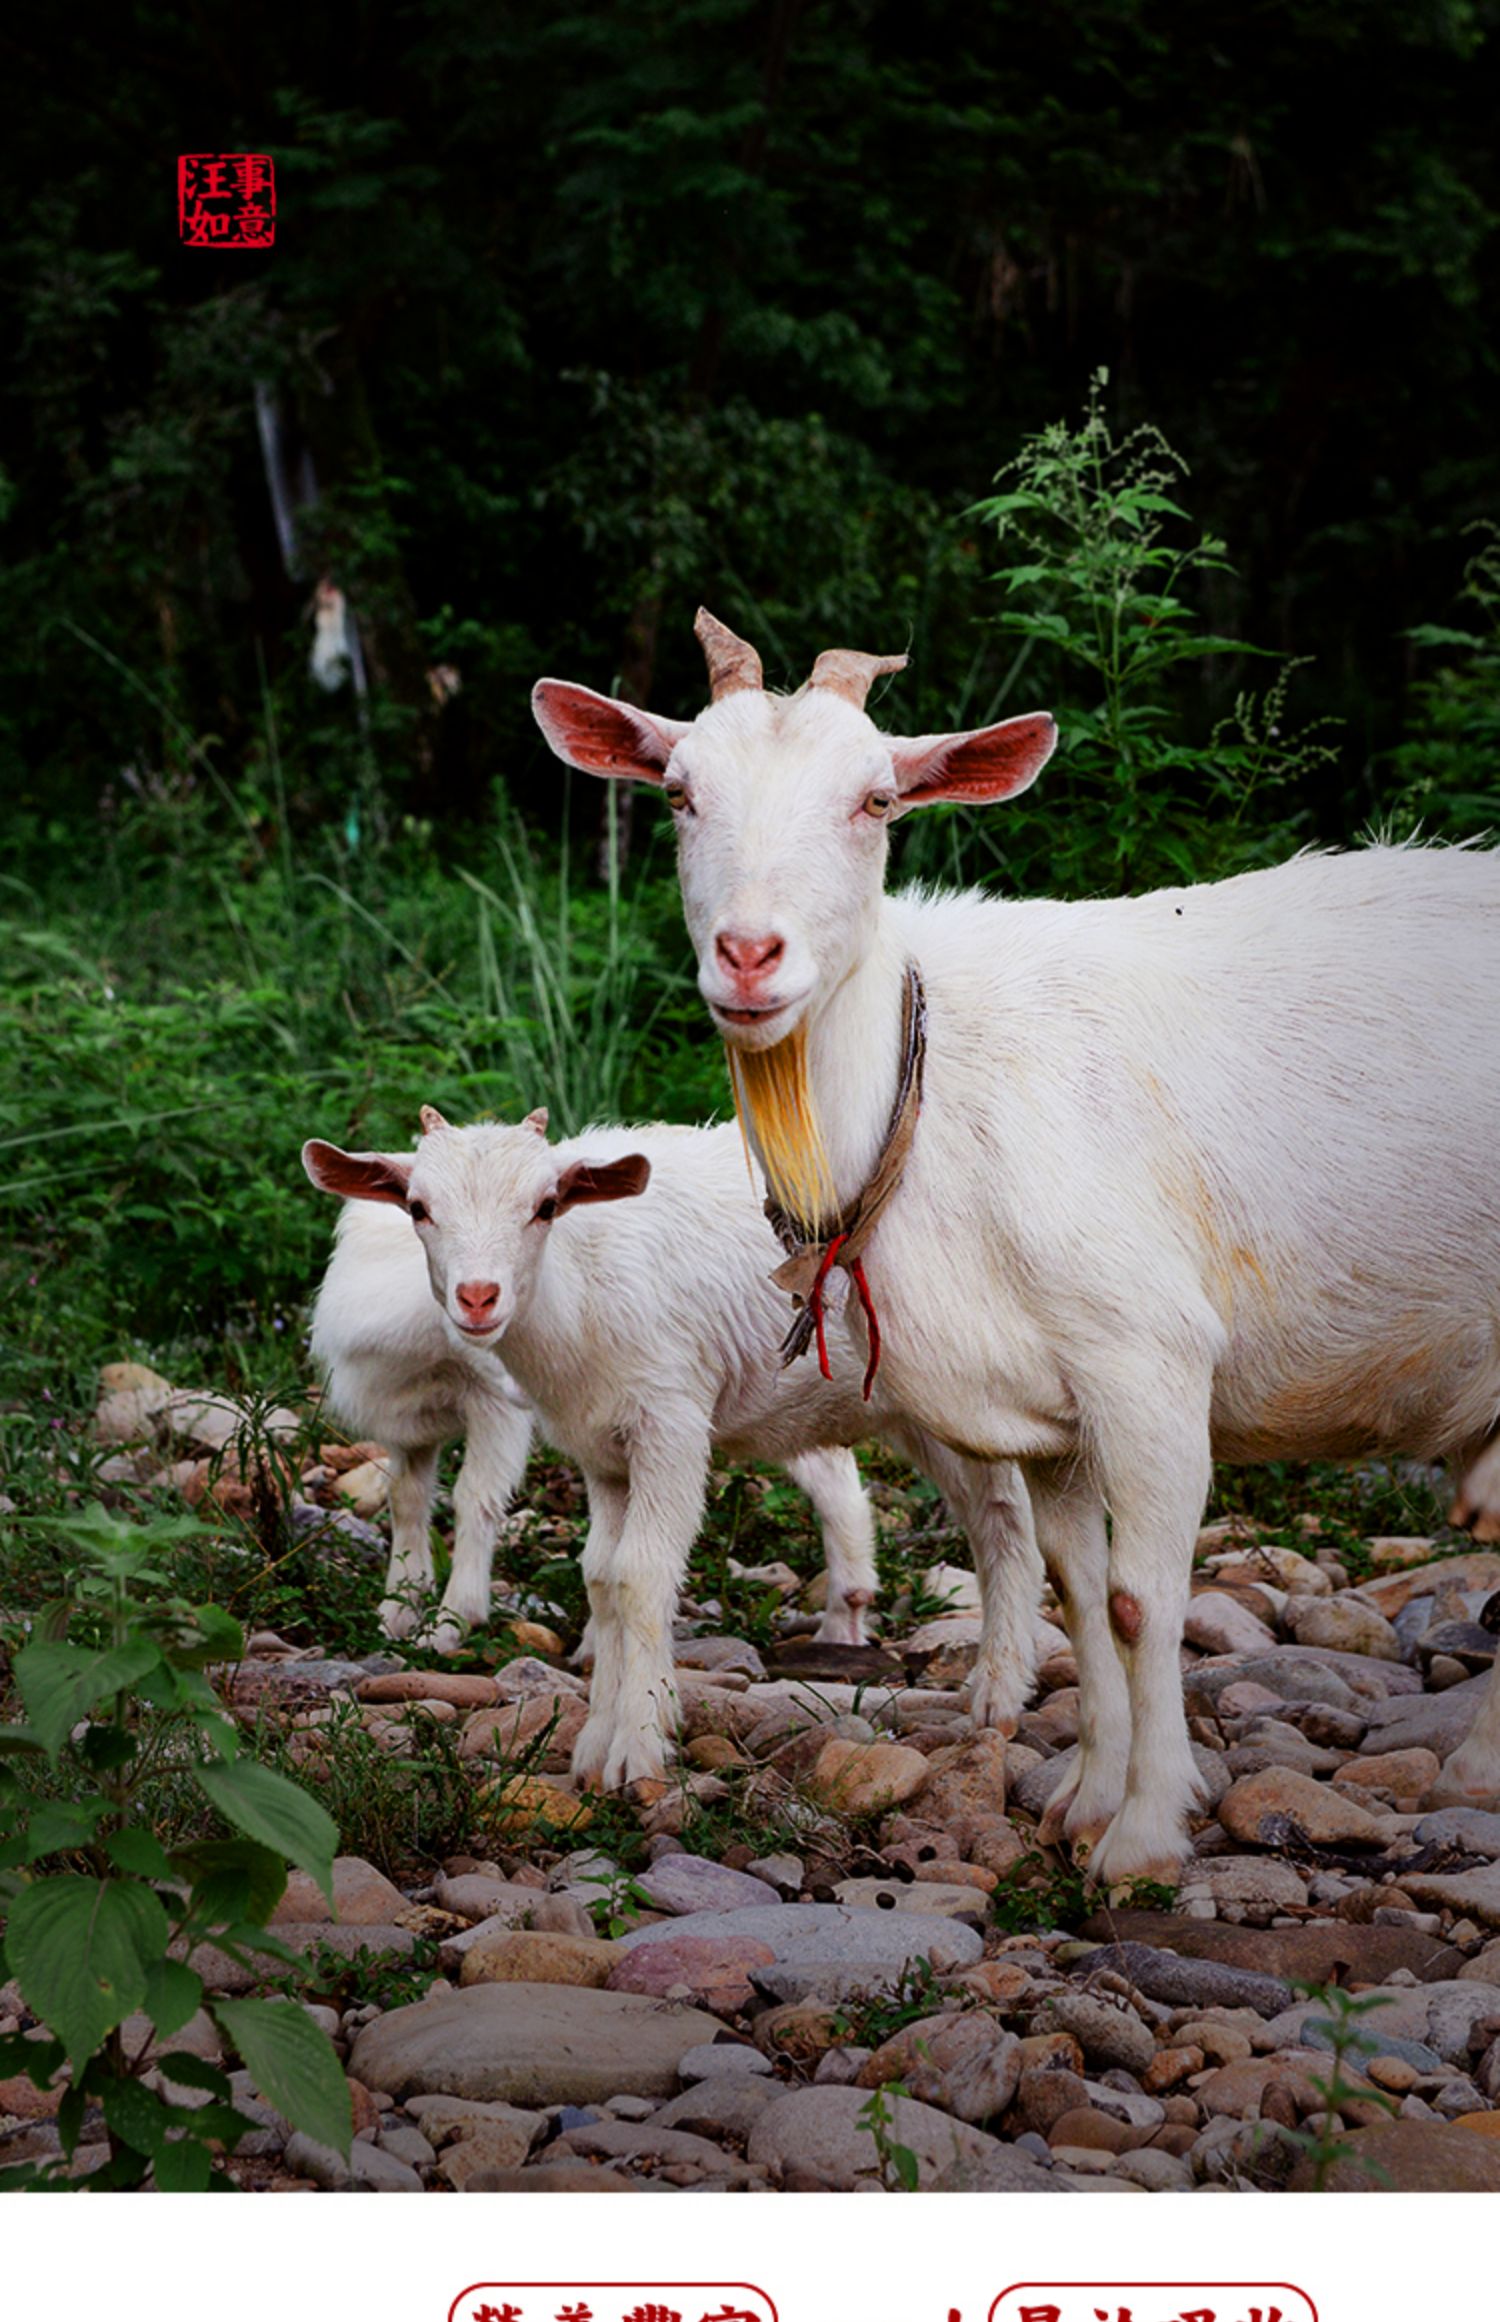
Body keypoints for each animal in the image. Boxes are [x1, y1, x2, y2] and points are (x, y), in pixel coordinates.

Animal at [541, 613, 1500, 1866]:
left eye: (876, 802)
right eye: (680, 794)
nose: (749, 956)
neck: (936, 1091)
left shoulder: (1150, 1357)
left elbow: (1144, 1598)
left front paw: (1142, 1837)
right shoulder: (1047, 1406)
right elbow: (1078, 1587)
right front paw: (1085, 1797)